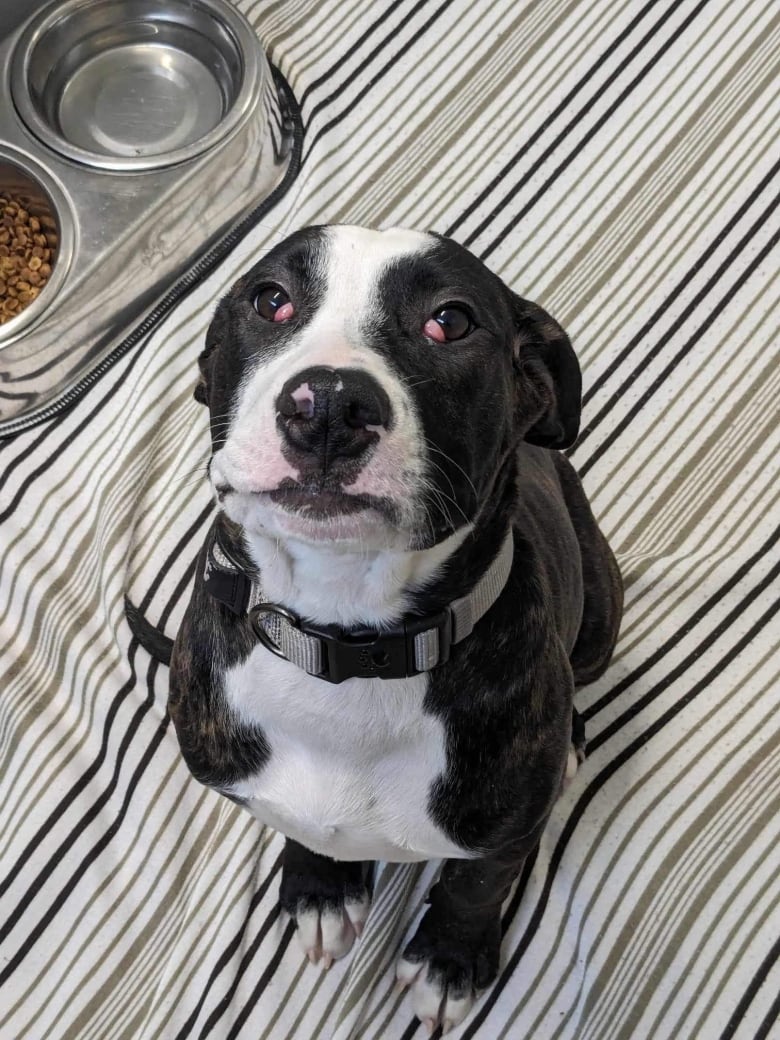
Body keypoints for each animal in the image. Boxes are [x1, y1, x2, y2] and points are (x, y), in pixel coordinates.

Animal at [169, 227, 624, 1031]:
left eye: (451, 320)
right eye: (269, 299)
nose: (328, 404)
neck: (344, 642)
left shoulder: (504, 833)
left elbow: (476, 887)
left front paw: (448, 960)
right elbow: (296, 826)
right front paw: (319, 887)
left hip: (600, 610)